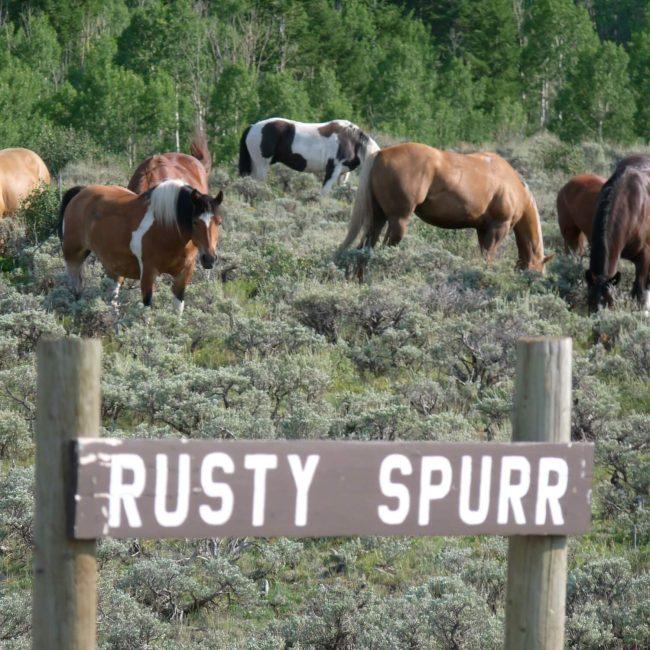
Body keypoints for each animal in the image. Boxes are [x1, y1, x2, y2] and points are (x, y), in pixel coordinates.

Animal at [58, 180, 224, 315]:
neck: (167, 227)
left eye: (219, 221)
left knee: (112, 297)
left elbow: (178, 309)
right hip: (74, 256)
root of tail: (81, 191)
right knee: (77, 288)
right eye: (195, 221)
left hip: (114, 266)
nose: (209, 258)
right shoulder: (148, 272)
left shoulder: (184, 274)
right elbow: (147, 307)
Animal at [238, 118, 380, 193]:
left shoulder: (343, 174)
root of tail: (252, 127)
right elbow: (324, 192)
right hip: (260, 165)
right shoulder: (333, 169)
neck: (352, 140)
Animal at [339, 142, 548, 273]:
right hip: (398, 220)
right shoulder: (498, 229)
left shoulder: (483, 230)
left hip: (378, 217)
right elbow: (488, 259)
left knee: (365, 248)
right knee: (385, 250)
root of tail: (380, 154)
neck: (512, 186)